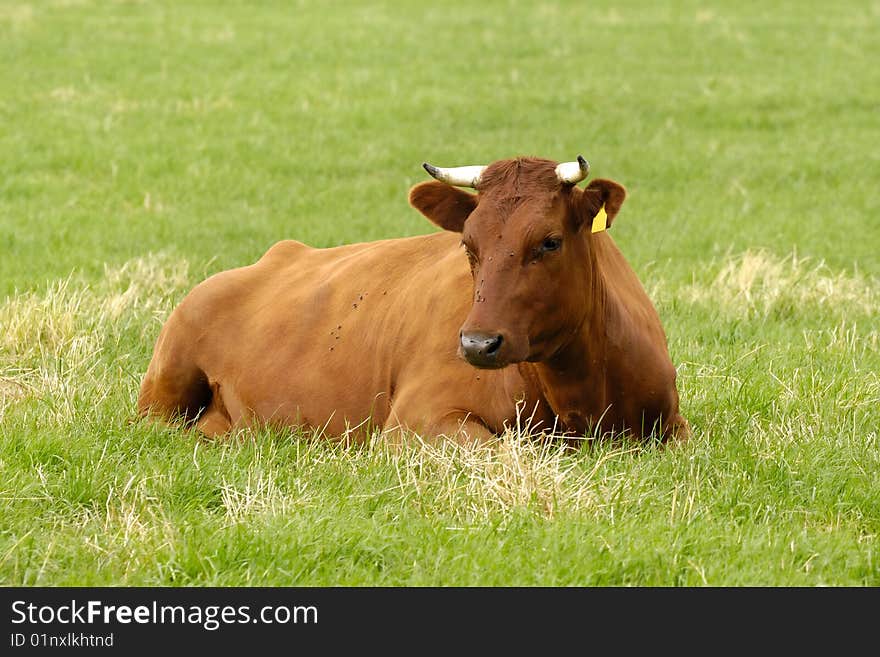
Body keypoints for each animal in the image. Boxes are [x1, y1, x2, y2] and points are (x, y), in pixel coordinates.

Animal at [139, 154, 688, 444]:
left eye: (549, 242)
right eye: (468, 244)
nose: (477, 344)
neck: (582, 393)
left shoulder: (674, 425)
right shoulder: (418, 420)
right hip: (163, 389)